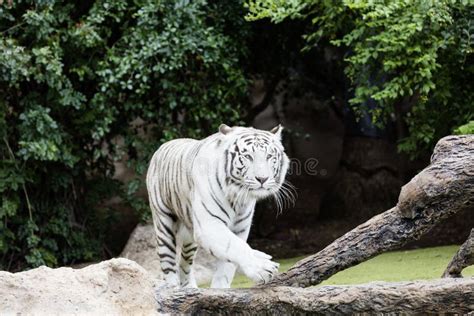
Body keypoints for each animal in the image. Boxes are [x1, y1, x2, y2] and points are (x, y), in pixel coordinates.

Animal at [146, 124, 290, 288]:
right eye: (248, 156)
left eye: (269, 156)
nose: (262, 179)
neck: (238, 198)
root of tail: (164, 145)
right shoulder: (209, 226)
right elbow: (235, 246)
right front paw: (262, 269)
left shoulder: (239, 229)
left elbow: (227, 266)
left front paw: (220, 290)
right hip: (164, 224)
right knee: (168, 263)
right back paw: (173, 287)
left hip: (190, 236)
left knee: (185, 262)